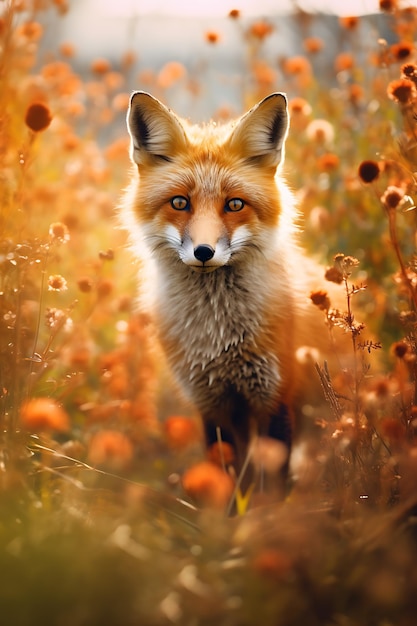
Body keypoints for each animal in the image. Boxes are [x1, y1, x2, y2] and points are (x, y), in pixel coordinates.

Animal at [122, 92, 340, 492]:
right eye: (180, 202)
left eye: (235, 204)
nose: (204, 252)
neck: (219, 338)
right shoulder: (211, 403)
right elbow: (227, 483)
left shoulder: (274, 398)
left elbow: (273, 488)